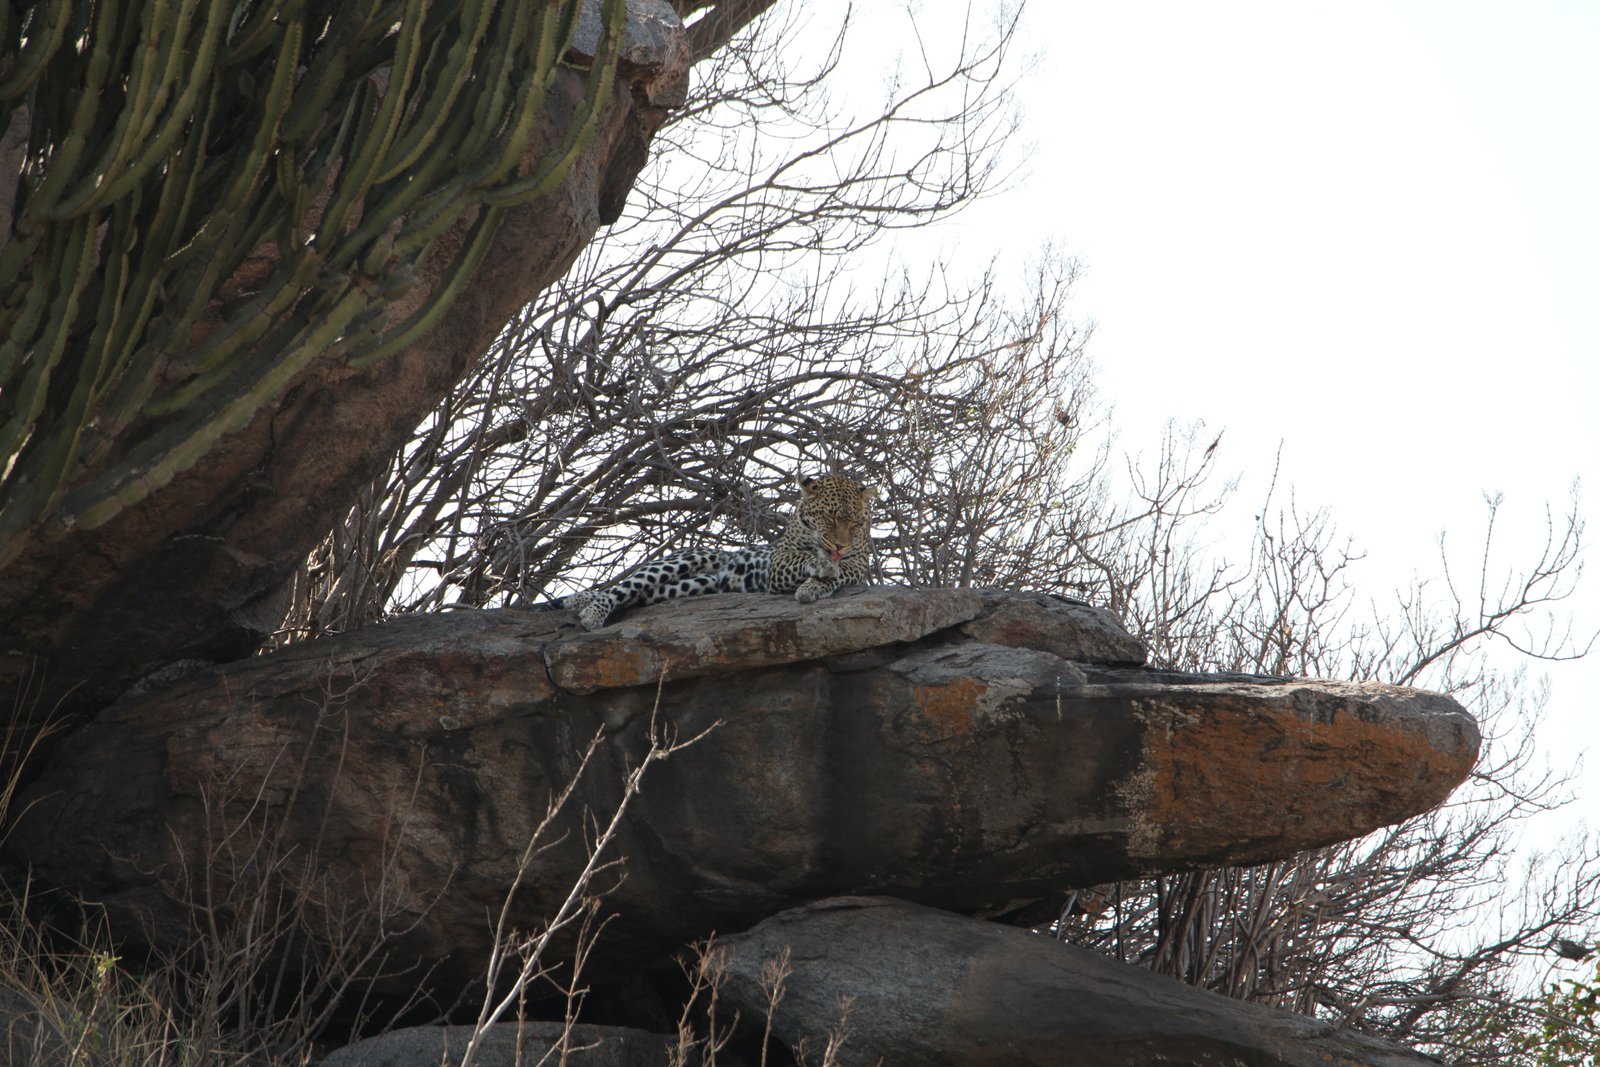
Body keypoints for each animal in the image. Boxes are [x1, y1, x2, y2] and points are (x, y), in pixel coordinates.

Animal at [547, 473, 876, 630]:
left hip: (688, 586)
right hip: (683, 560)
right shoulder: (780, 561)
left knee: (635, 594)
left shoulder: (858, 566)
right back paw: (589, 611)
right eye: (830, 518)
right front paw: (819, 569)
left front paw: (813, 586)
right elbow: (806, 558)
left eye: (856, 523)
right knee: (622, 587)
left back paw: (578, 601)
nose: (840, 546)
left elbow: (839, 572)